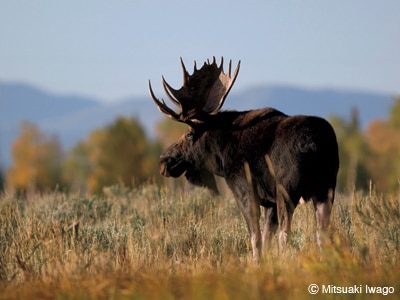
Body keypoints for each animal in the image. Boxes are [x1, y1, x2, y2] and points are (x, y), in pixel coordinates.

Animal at [148, 57, 340, 264]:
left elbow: (256, 237)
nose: (164, 161)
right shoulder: (270, 202)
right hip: (325, 189)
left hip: (288, 190)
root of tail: (316, 144)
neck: (221, 155)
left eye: (190, 133)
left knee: (286, 233)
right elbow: (266, 237)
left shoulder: (244, 189)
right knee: (322, 233)